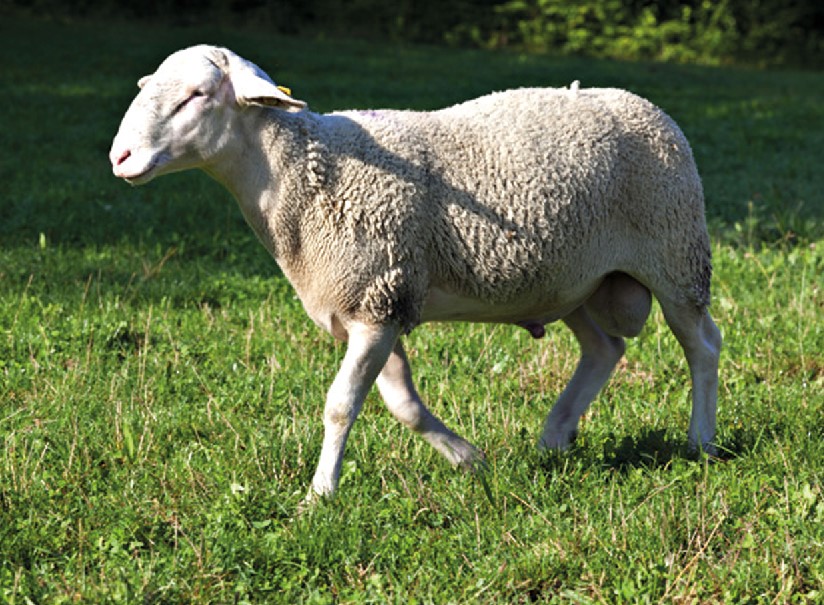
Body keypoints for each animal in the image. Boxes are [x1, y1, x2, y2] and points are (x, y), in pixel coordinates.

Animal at [109, 46, 720, 500]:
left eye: (197, 95)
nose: (120, 158)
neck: (306, 172)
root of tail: (639, 103)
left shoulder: (375, 302)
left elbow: (340, 405)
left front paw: (319, 496)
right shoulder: (376, 302)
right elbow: (402, 404)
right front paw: (469, 459)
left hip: (675, 254)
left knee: (701, 346)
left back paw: (702, 443)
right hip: (572, 281)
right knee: (604, 348)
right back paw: (554, 436)